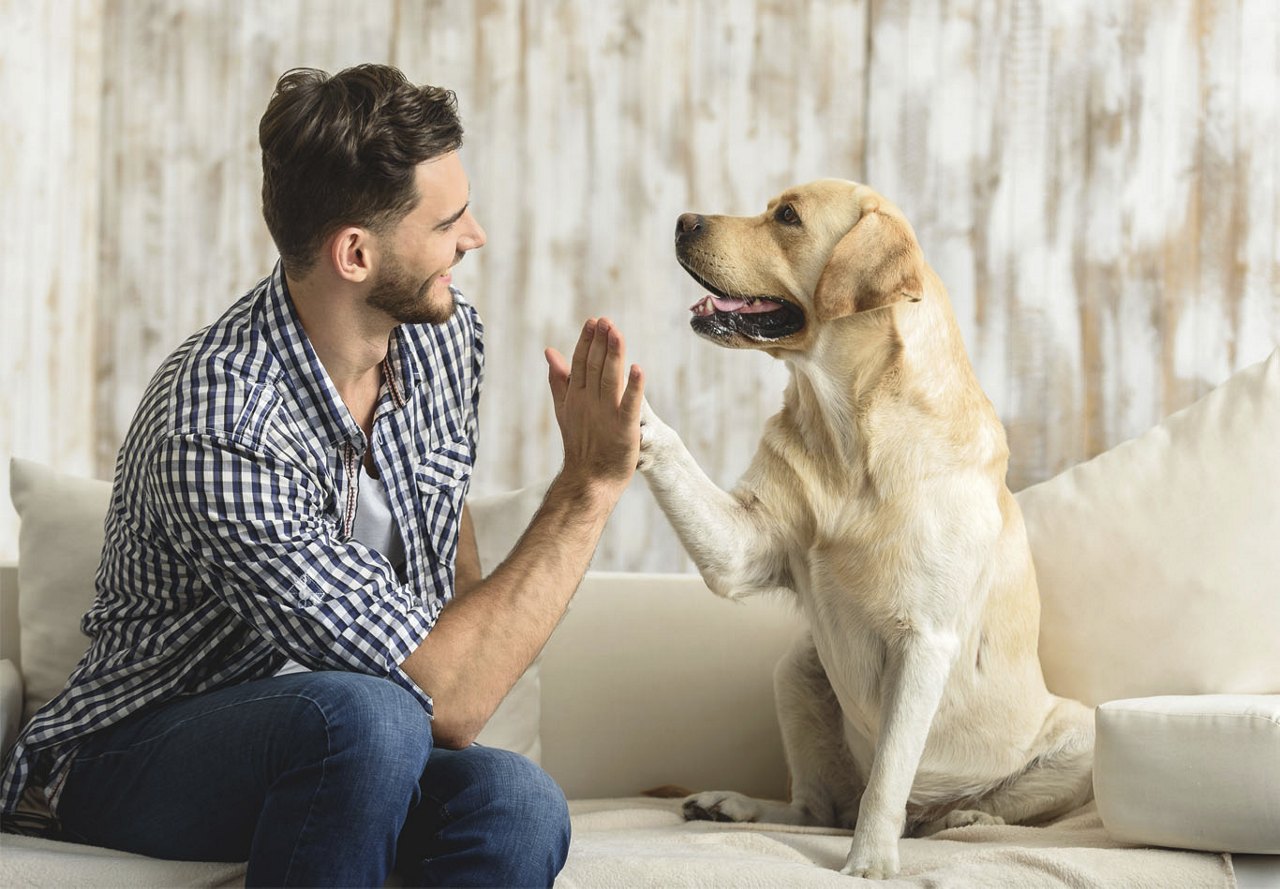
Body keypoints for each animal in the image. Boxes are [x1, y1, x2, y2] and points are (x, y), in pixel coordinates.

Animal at [640, 179, 1090, 874]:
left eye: (788, 217)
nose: (684, 220)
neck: (849, 430)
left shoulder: (924, 642)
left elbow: (888, 778)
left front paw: (870, 863)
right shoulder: (741, 548)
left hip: (1081, 736)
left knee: (949, 810)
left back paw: (962, 816)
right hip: (797, 670)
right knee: (816, 808)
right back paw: (732, 805)